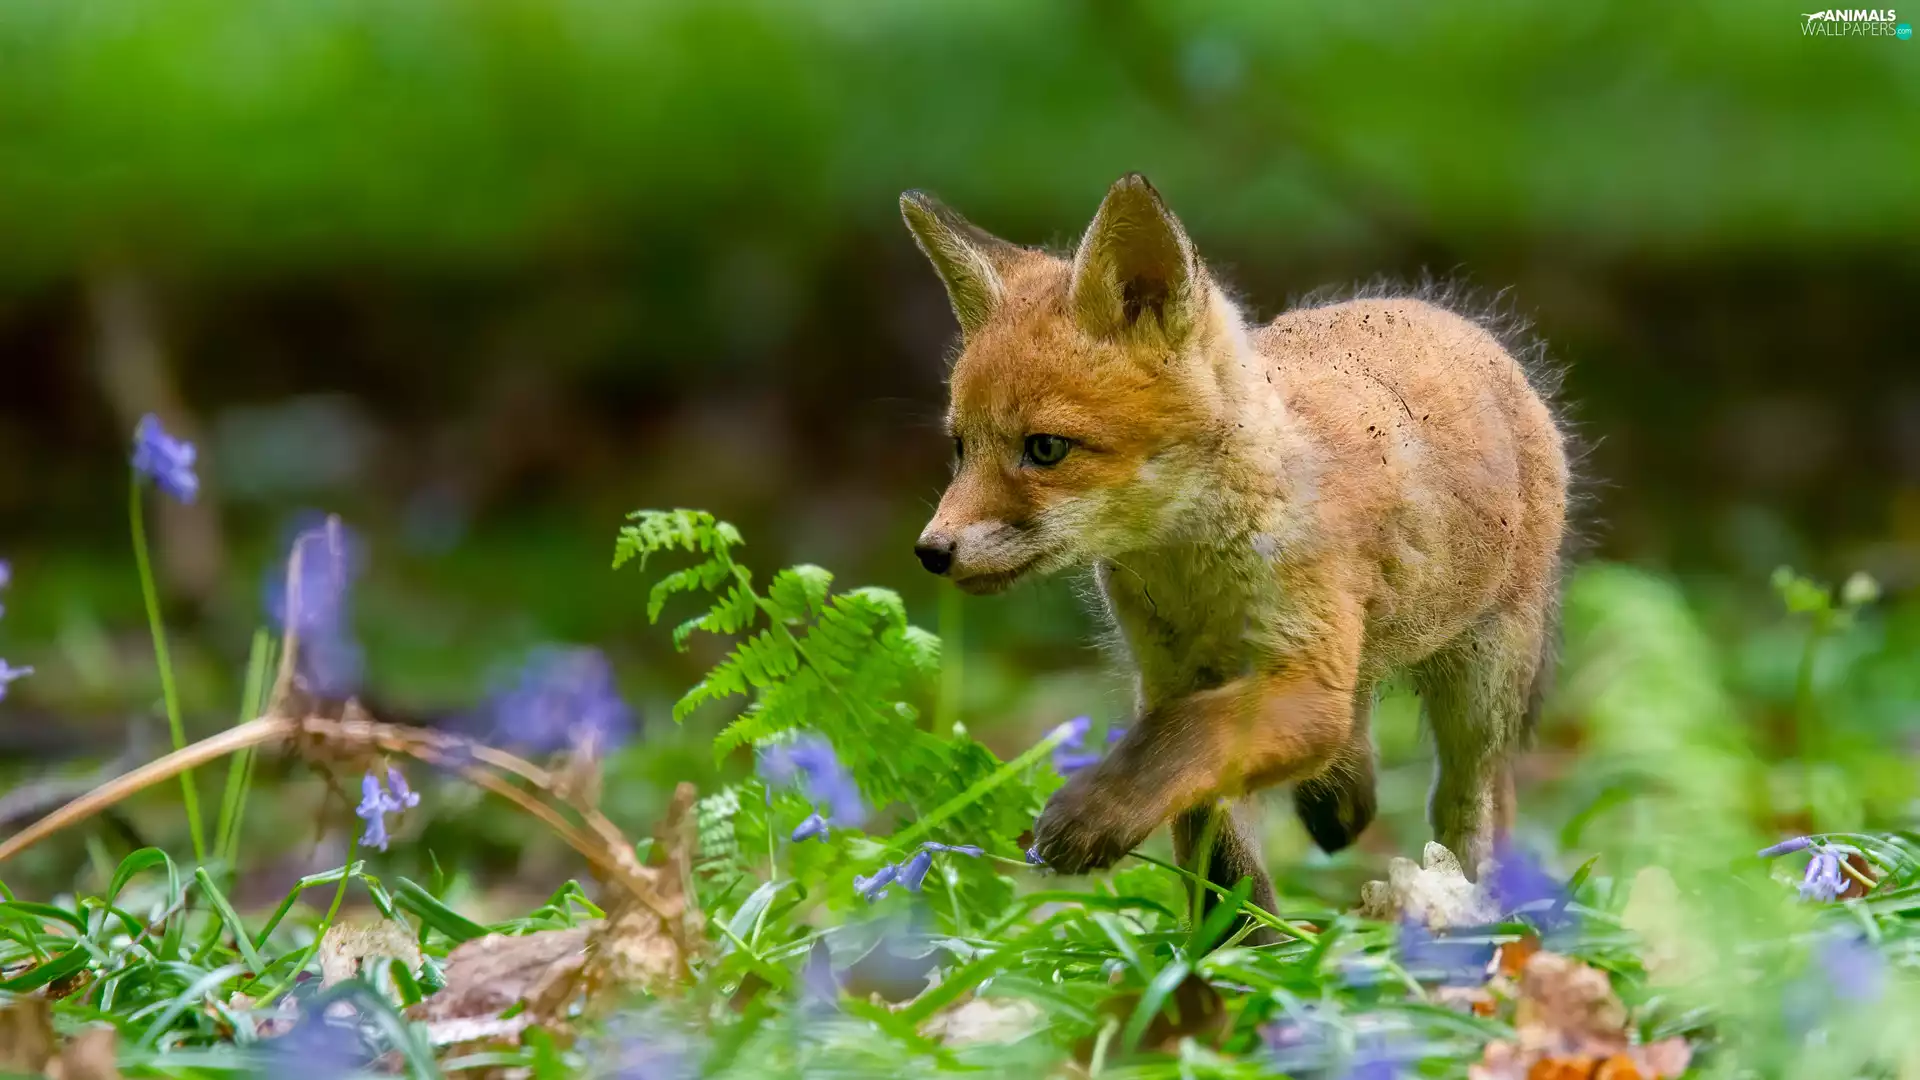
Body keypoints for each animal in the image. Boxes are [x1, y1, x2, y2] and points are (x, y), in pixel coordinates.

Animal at [901, 175, 1570, 926]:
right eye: (961, 448)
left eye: (1045, 449)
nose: (932, 550)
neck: (1195, 574)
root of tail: (1444, 314)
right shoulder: (1176, 675)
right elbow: (1216, 846)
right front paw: (1240, 946)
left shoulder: (1298, 684)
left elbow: (1180, 742)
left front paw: (1093, 818)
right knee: (1358, 736)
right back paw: (1341, 801)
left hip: (1482, 684)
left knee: (1473, 801)